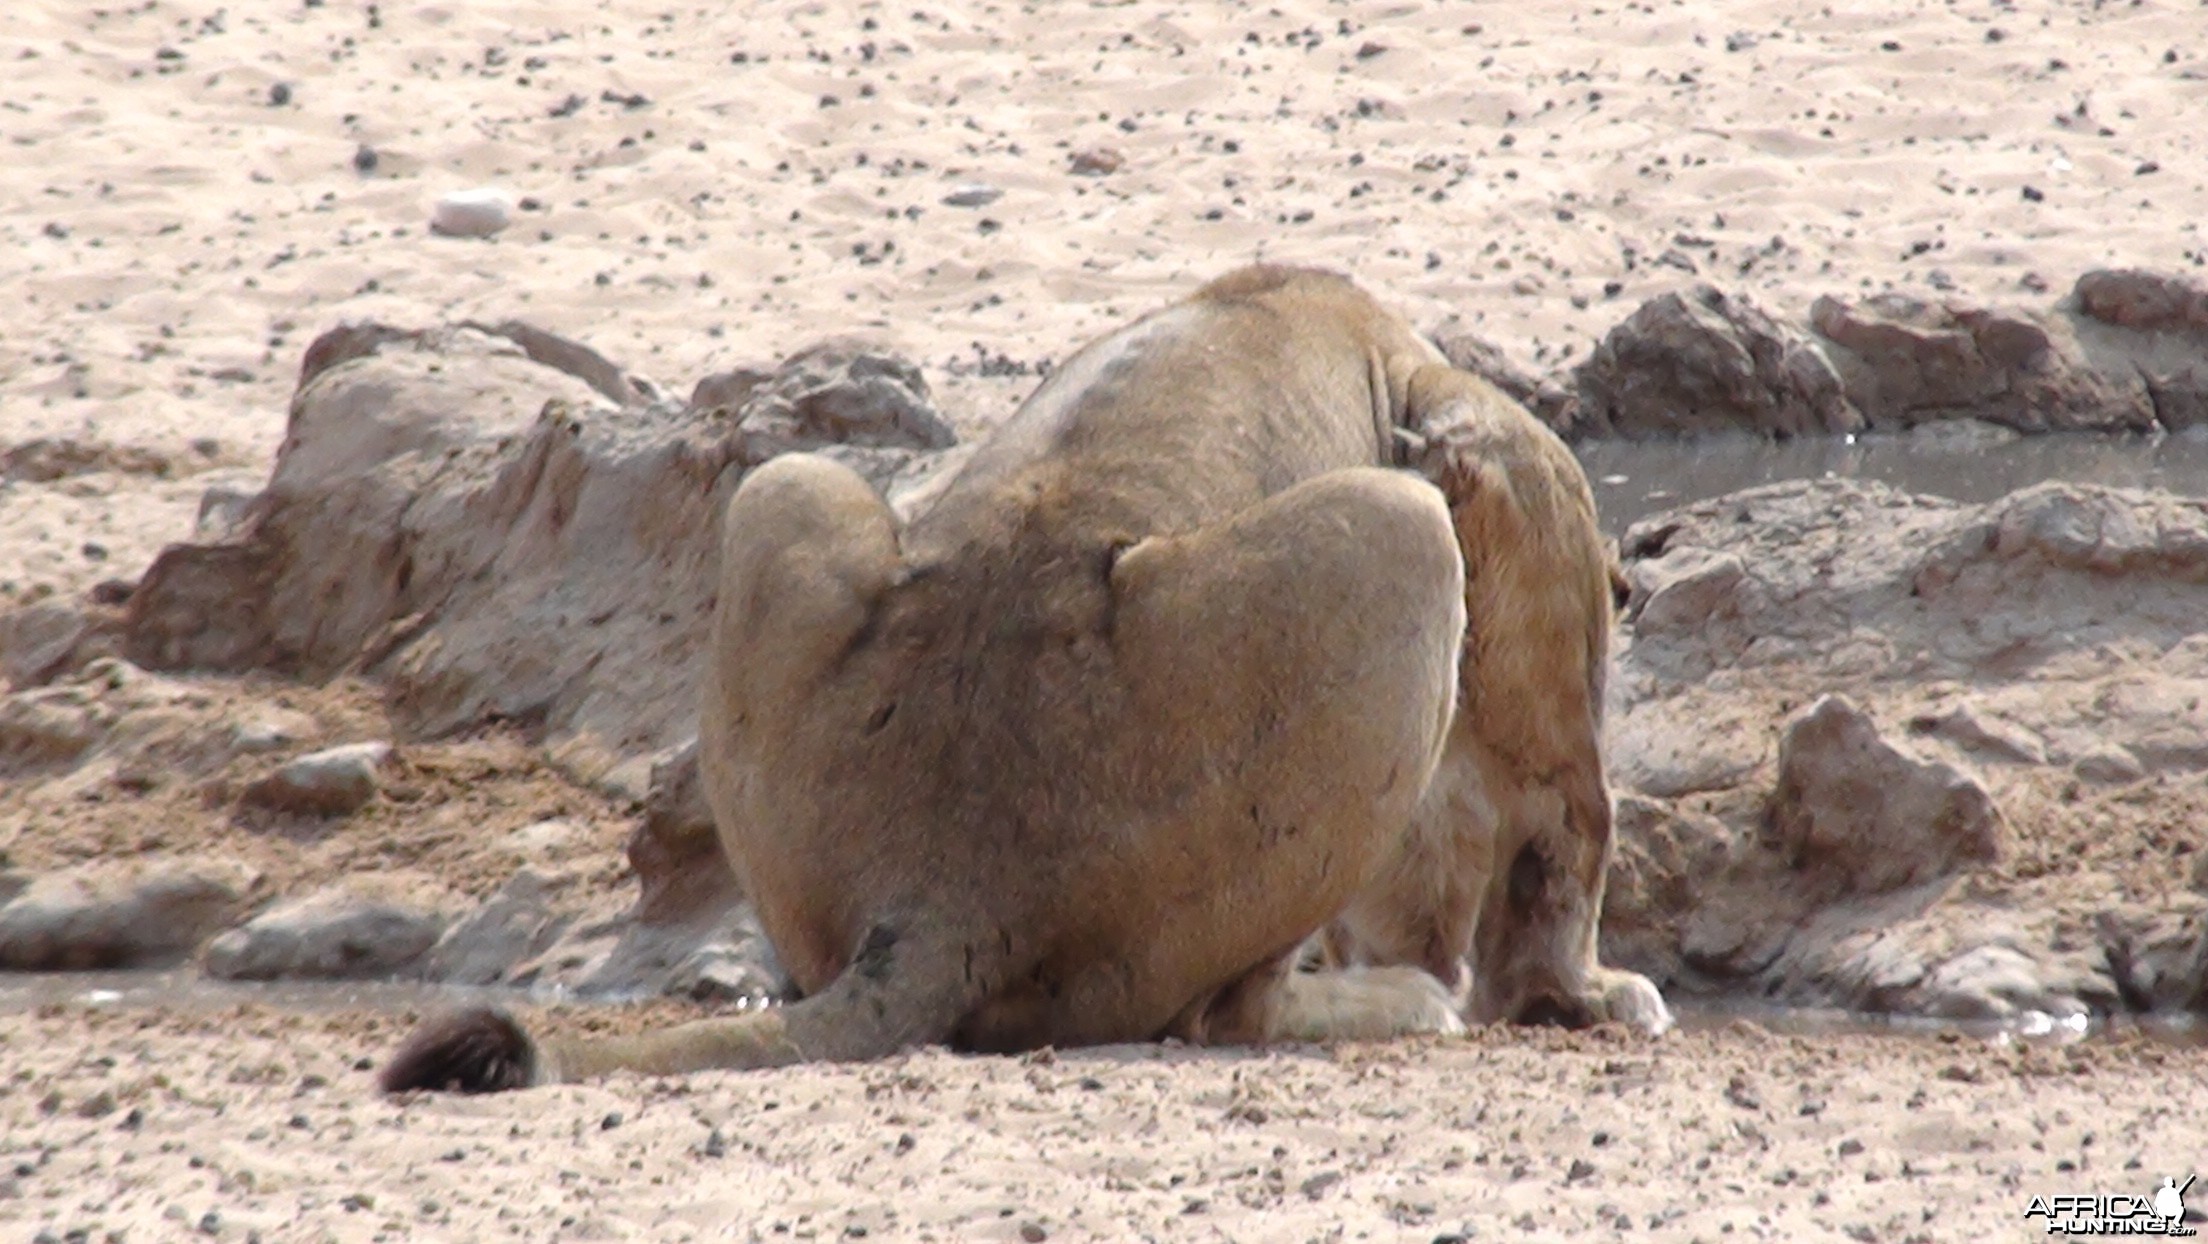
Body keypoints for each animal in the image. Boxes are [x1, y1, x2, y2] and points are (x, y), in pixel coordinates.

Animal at [379, 265, 1660, 1091]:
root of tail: (938, 889)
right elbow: (1567, 817)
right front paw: (1589, 990)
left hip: (787, 487)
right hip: (1395, 538)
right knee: (1226, 1012)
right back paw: (1395, 1005)